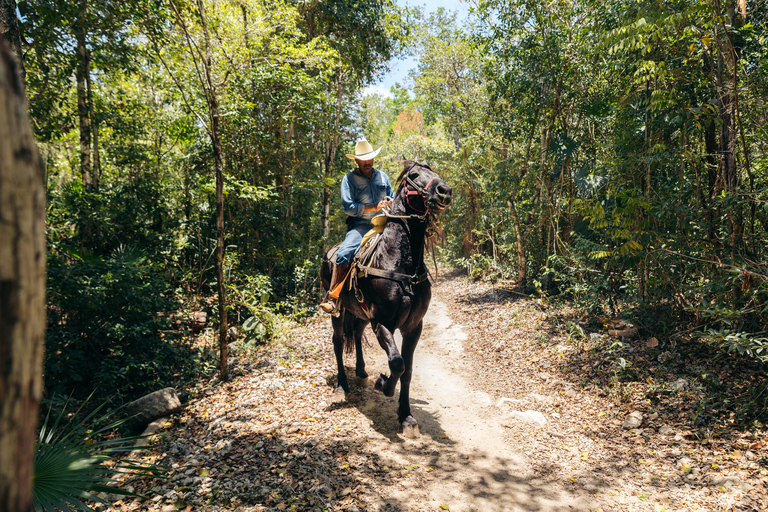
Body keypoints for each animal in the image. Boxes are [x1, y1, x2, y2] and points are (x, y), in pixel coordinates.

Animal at [322, 160, 452, 432]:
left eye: (434, 172)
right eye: (414, 175)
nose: (444, 191)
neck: (399, 264)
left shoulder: (414, 327)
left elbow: (408, 370)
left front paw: (406, 416)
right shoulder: (382, 323)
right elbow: (396, 363)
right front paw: (382, 384)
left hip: (359, 314)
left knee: (356, 334)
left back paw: (361, 372)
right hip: (337, 311)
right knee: (338, 342)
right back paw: (341, 386)